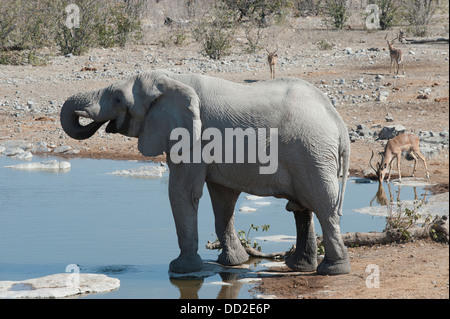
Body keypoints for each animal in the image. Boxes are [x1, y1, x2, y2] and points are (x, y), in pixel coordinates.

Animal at [59, 71, 352, 276]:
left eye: (119, 99)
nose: (95, 122)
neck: (170, 79)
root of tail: (338, 123)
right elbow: (222, 199)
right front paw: (233, 263)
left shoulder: (193, 139)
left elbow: (182, 192)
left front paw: (181, 268)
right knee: (302, 206)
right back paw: (299, 266)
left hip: (312, 151)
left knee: (322, 205)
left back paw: (332, 270)